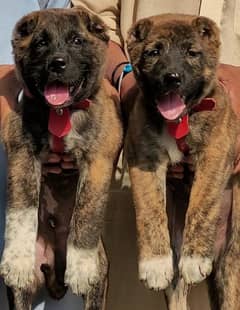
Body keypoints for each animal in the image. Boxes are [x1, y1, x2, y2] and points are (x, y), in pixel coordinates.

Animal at [0, 7, 122, 310]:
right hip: (21, 292)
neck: (60, 113)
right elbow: (21, 211)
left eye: (77, 41)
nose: (57, 63)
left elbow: (86, 213)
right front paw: (16, 259)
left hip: (99, 280)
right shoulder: (22, 153)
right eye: (40, 43)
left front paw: (82, 264)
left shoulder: (98, 161)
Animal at [125, 13, 240, 308]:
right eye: (154, 52)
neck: (179, 120)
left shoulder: (215, 153)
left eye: (192, 53)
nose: (172, 78)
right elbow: (150, 210)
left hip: (233, 262)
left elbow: (202, 204)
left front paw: (194, 257)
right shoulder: (143, 158)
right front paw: (154, 264)